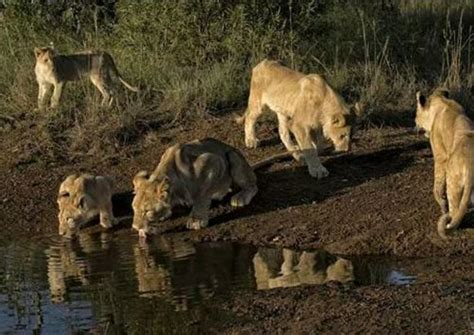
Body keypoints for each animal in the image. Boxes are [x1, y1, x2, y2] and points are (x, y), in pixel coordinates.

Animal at [131, 138, 260, 238]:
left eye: (147, 211)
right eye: (134, 209)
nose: (135, 227)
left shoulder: (213, 161)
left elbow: (202, 195)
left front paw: (196, 220)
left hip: (233, 156)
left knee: (253, 186)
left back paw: (240, 197)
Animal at [416, 90, 472, 239]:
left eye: (416, 114)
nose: (415, 123)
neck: (442, 102)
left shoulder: (440, 157)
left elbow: (437, 185)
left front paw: (441, 204)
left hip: (453, 181)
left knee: (455, 210)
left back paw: (449, 223)